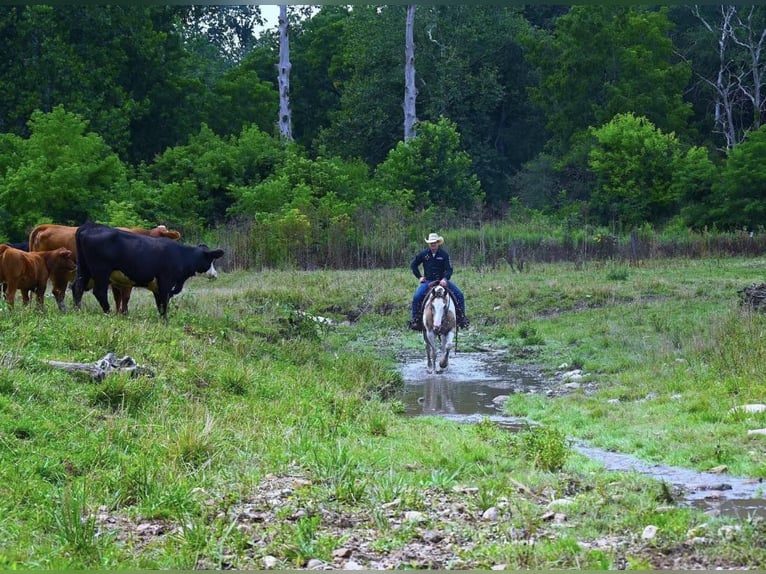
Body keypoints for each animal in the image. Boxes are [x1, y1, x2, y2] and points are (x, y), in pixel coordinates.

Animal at [27, 223, 184, 312]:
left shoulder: (116, 280)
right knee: (58, 292)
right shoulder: (126, 279)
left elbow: (118, 298)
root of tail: (46, 226)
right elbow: (125, 297)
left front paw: (119, 313)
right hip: (61, 274)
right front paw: (124, 314)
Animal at [73, 222, 225, 320]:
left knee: (77, 287)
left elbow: (160, 305)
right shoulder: (165, 282)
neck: (180, 255)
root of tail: (89, 226)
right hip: (101, 271)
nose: (215, 274)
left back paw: (77, 310)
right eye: (211, 260)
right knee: (99, 292)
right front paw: (165, 321)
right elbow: (164, 303)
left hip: (84, 268)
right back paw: (108, 312)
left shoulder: (157, 287)